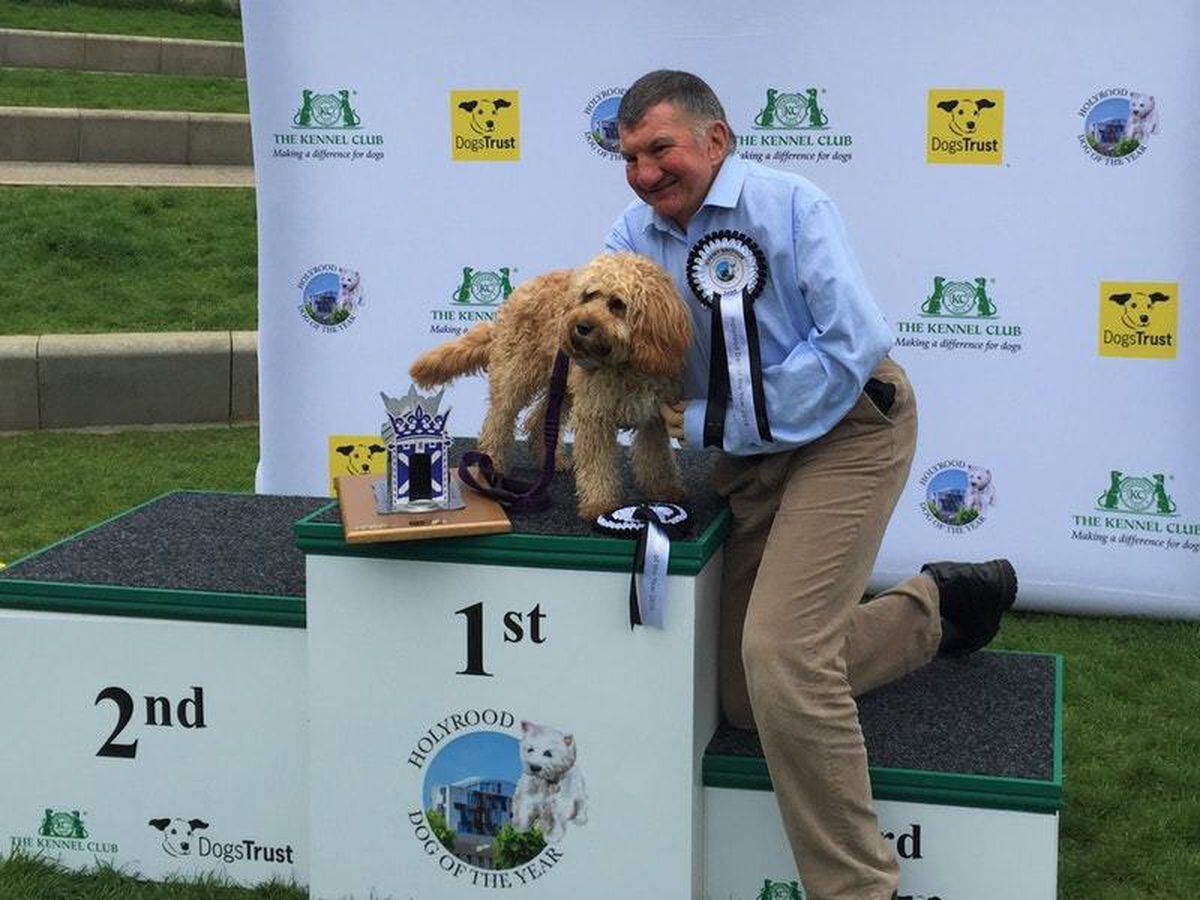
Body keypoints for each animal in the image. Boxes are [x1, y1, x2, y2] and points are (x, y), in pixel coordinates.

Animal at [412, 254, 696, 520]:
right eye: (588, 295)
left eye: (617, 303)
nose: (581, 326)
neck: (625, 366)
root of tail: (518, 292)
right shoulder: (595, 417)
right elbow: (597, 465)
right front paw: (599, 504)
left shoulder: (652, 417)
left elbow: (656, 458)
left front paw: (664, 490)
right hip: (517, 375)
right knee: (498, 420)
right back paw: (492, 465)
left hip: (562, 386)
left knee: (538, 420)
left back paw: (552, 460)